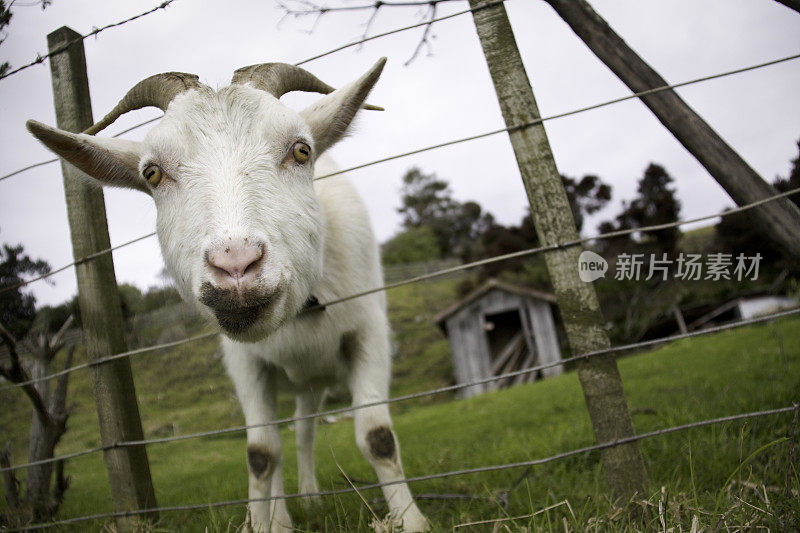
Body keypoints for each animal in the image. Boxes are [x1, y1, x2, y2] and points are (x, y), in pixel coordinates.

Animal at [28, 59, 432, 532]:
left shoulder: (368, 331)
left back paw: (310, 495)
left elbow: (377, 436)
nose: (236, 265)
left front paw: (410, 520)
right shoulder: (244, 361)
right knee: (283, 438)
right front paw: (262, 522)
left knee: (305, 429)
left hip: (313, 379)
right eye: (152, 173)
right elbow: (261, 454)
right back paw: (285, 513)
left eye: (301, 150)